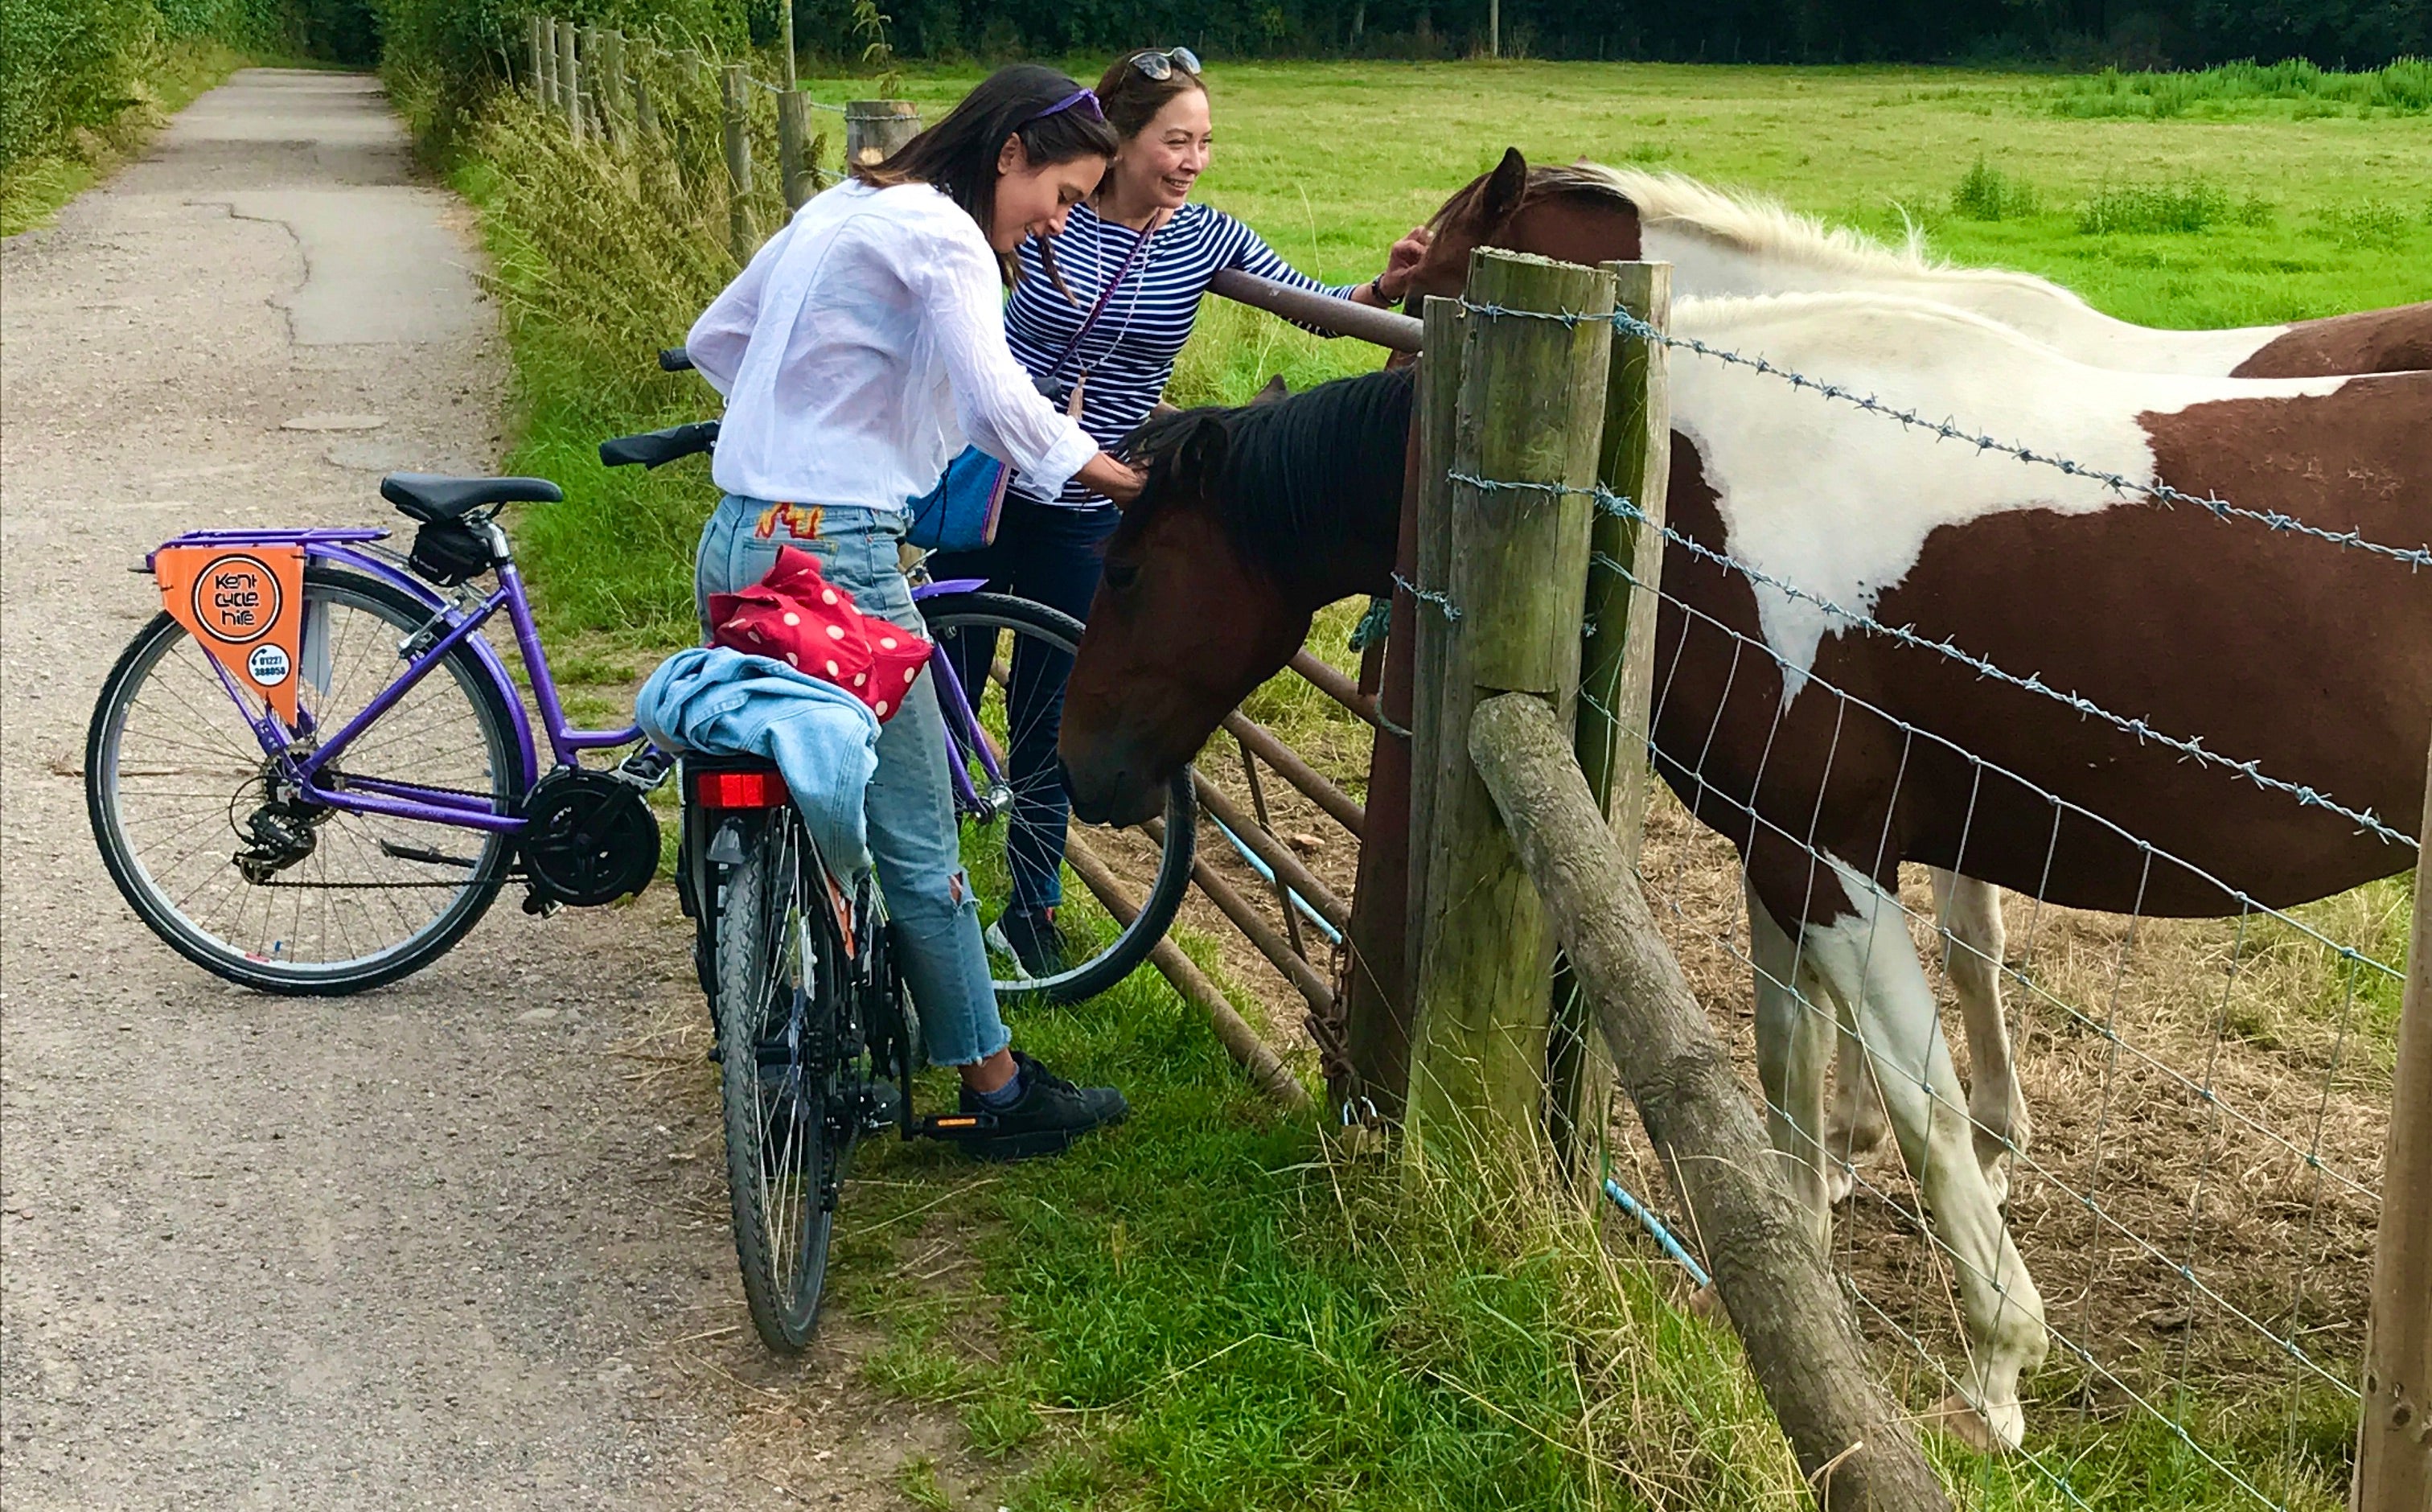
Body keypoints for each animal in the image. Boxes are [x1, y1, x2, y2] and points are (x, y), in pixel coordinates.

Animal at [1060, 286, 2432, 1458]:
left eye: (1126, 569)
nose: (1079, 772)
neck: (1691, 505)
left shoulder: (1831, 857)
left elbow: (1926, 1111)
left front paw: (1996, 1375)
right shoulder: (1779, 854)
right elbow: (1789, 1068)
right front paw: (1797, 1286)